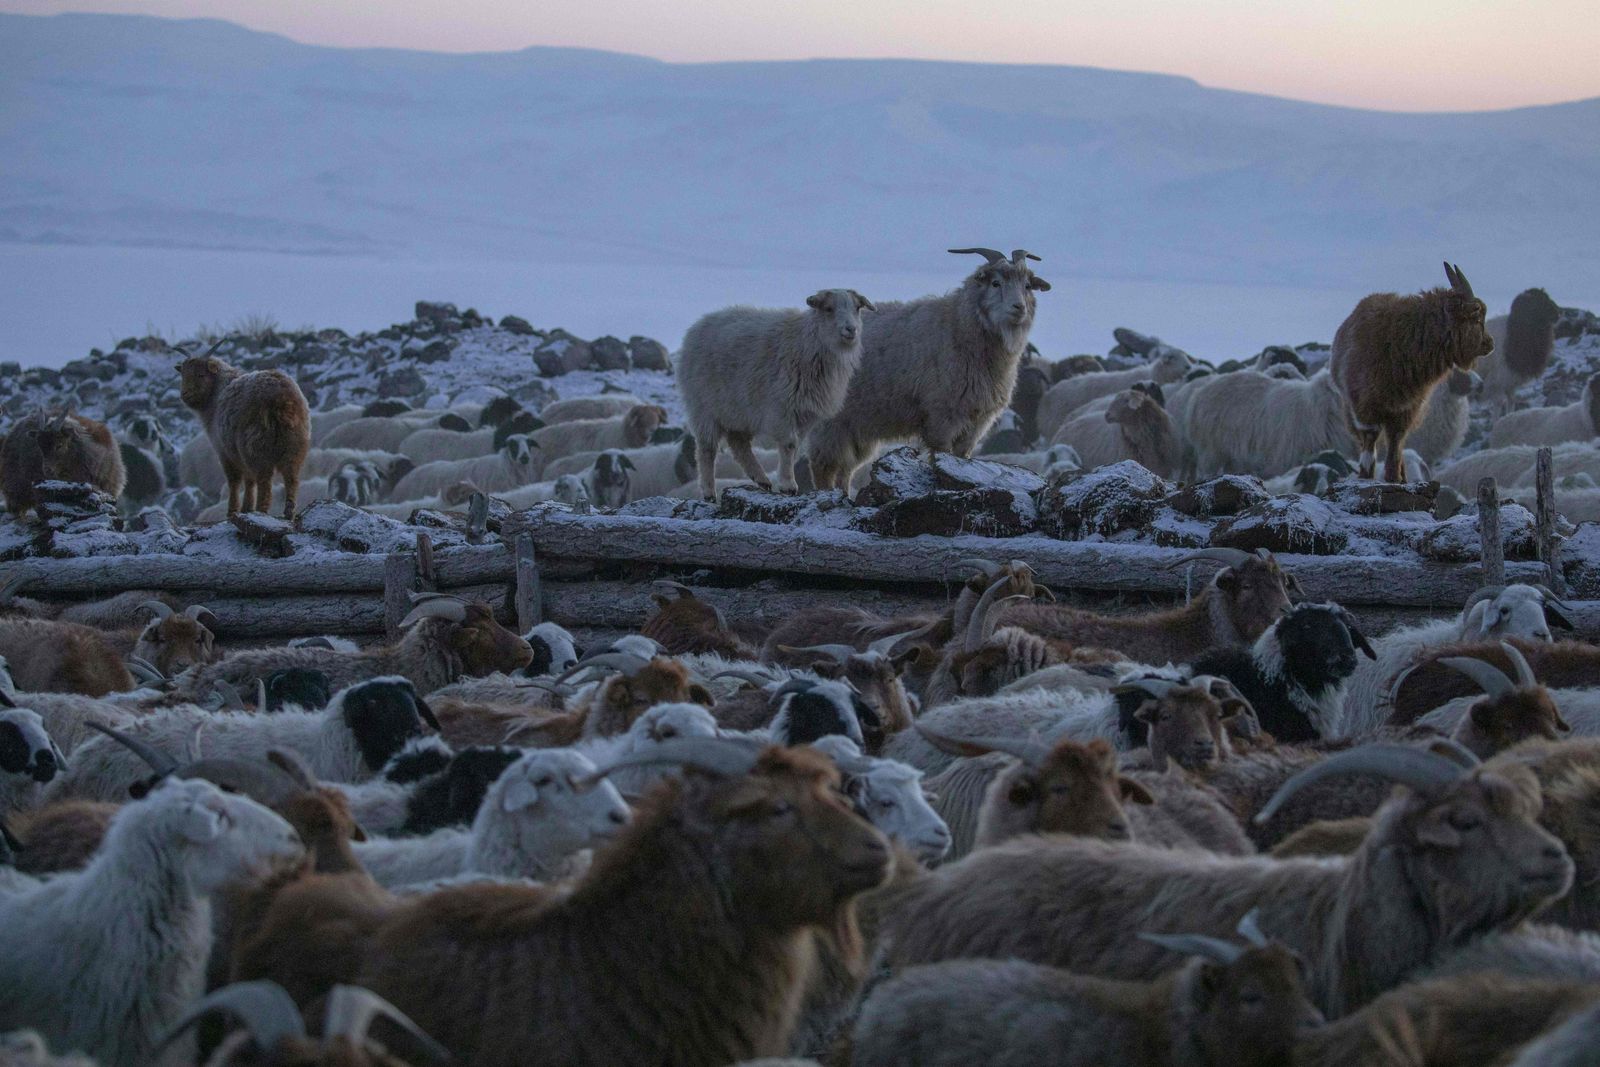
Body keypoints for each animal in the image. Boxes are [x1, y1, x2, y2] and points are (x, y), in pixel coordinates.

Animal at [180, 337, 310, 511]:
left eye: (200, 374)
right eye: (183, 375)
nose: (184, 394)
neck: (216, 392)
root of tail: (282, 399)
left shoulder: (225, 451)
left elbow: (234, 481)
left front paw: (233, 511)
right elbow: (249, 481)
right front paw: (246, 508)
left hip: (256, 447)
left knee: (264, 484)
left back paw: (261, 510)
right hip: (294, 447)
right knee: (291, 480)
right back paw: (288, 512)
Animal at [675, 283, 876, 502]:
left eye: (856, 308)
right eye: (829, 309)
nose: (851, 329)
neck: (808, 343)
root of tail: (699, 324)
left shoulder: (806, 414)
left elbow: (794, 447)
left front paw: (786, 480)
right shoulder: (782, 407)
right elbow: (789, 444)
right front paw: (788, 485)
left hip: (739, 409)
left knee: (739, 445)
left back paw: (761, 479)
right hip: (704, 407)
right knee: (706, 449)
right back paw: (709, 491)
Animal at [1331, 260, 1491, 483]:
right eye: (1476, 315)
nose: (1489, 344)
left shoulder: (1407, 409)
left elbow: (1396, 442)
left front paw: (1394, 477)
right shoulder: (1364, 404)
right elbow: (1370, 439)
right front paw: (1366, 474)